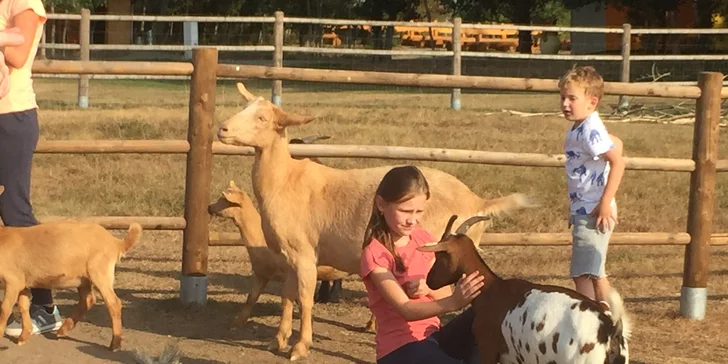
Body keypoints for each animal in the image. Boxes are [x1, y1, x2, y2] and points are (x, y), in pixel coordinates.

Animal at [0, 185, 144, 350]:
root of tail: (115, 242)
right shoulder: (22, 281)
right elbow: (23, 306)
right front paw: (23, 337)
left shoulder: (13, 280)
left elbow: (4, 309)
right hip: (83, 278)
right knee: (88, 300)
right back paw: (63, 329)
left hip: (99, 271)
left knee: (113, 303)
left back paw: (115, 343)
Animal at [206, 179, 372, 330]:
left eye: (223, 200)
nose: (209, 207)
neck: (258, 236)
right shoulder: (262, 274)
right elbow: (251, 298)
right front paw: (237, 323)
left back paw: (370, 326)